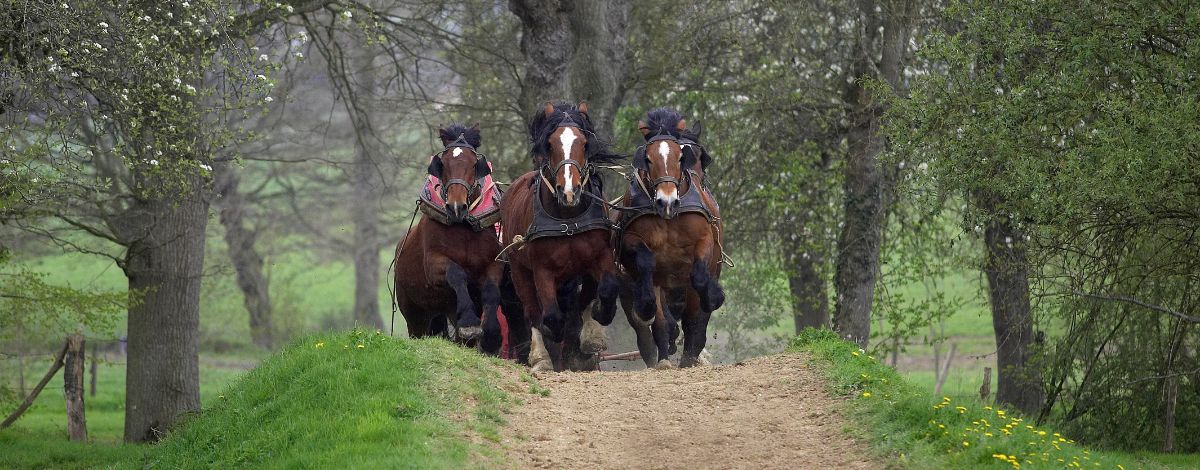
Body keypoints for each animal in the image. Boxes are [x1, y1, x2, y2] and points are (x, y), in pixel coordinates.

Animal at [396, 122, 504, 354]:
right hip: (415, 312)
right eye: (443, 164)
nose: (456, 206)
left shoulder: (493, 263)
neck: (462, 227)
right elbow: (456, 273)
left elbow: (491, 291)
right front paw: (470, 323)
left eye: (473, 165)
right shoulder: (434, 265)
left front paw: (492, 336)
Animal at [501, 101, 624, 371]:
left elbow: (604, 291)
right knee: (532, 311)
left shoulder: (599, 257)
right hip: (519, 270)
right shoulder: (542, 270)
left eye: (585, 143)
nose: (569, 191)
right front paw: (556, 343)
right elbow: (551, 316)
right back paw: (541, 356)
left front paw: (589, 337)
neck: (568, 217)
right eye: (550, 143)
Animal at [619, 108, 720, 369]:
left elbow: (700, 280)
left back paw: (689, 355)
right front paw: (646, 308)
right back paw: (662, 356)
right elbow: (646, 263)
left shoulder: (704, 241)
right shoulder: (632, 241)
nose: (667, 201)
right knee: (654, 325)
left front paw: (715, 298)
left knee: (694, 316)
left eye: (683, 157)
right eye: (648, 159)